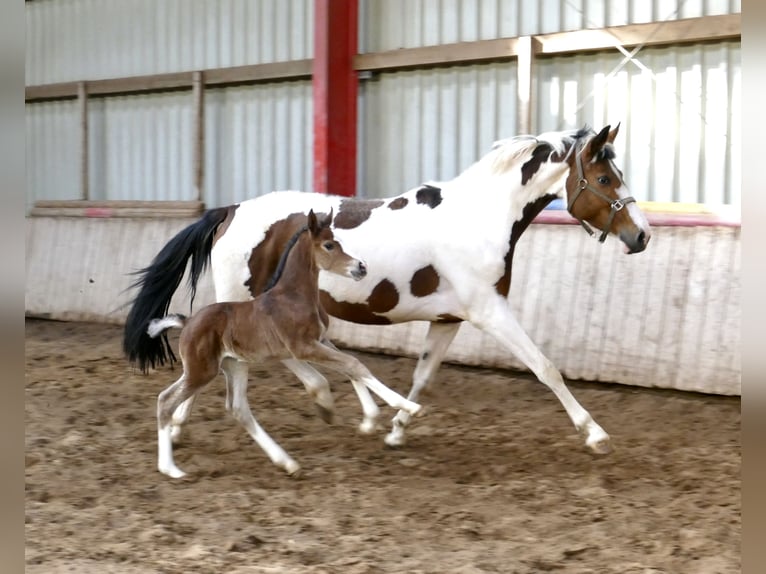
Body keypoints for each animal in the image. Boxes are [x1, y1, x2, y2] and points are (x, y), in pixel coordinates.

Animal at [145, 209, 423, 478]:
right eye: (329, 245)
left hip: (233, 365)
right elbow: (354, 363)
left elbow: (350, 367)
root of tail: (187, 321)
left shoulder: (321, 340)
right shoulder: (303, 347)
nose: (361, 267)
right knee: (166, 401)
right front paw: (410, 407)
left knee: (237, 408)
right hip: (202, 371)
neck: (294, 296)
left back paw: (287, 463)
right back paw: (170, 468)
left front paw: (368, 420)